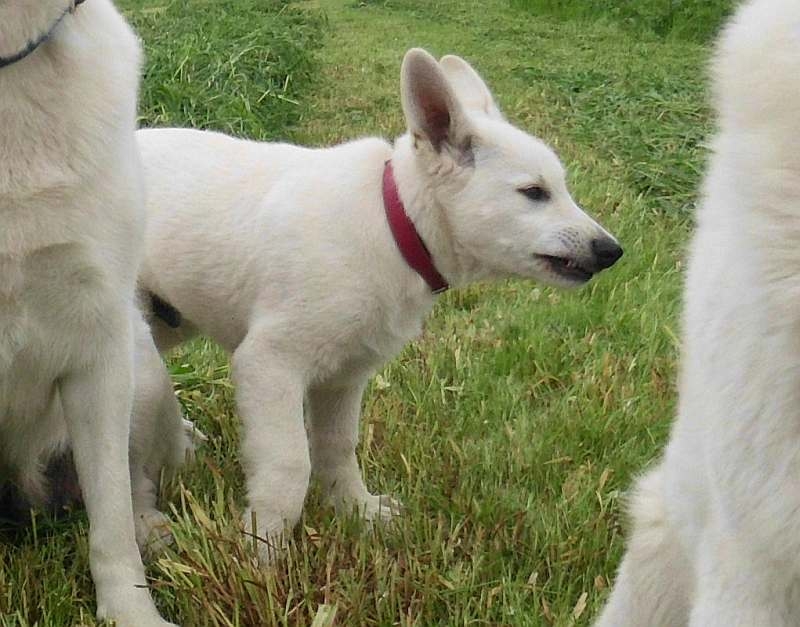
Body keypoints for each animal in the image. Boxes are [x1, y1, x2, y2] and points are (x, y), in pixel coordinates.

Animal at [0, 2, 191, 624]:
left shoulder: (97, 348)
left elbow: (110, 522)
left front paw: (131, 613)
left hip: (139, 366)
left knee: (131, 488)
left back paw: (153, 530)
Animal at [138, 49, 624, 560]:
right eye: (534, 192)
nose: (612, 251)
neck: (394, 224)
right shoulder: (270, 363)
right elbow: (290, 466)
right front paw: (263, 552)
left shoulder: (344, 377)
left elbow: (337, 449)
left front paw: (357, 510)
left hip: (169, 322)